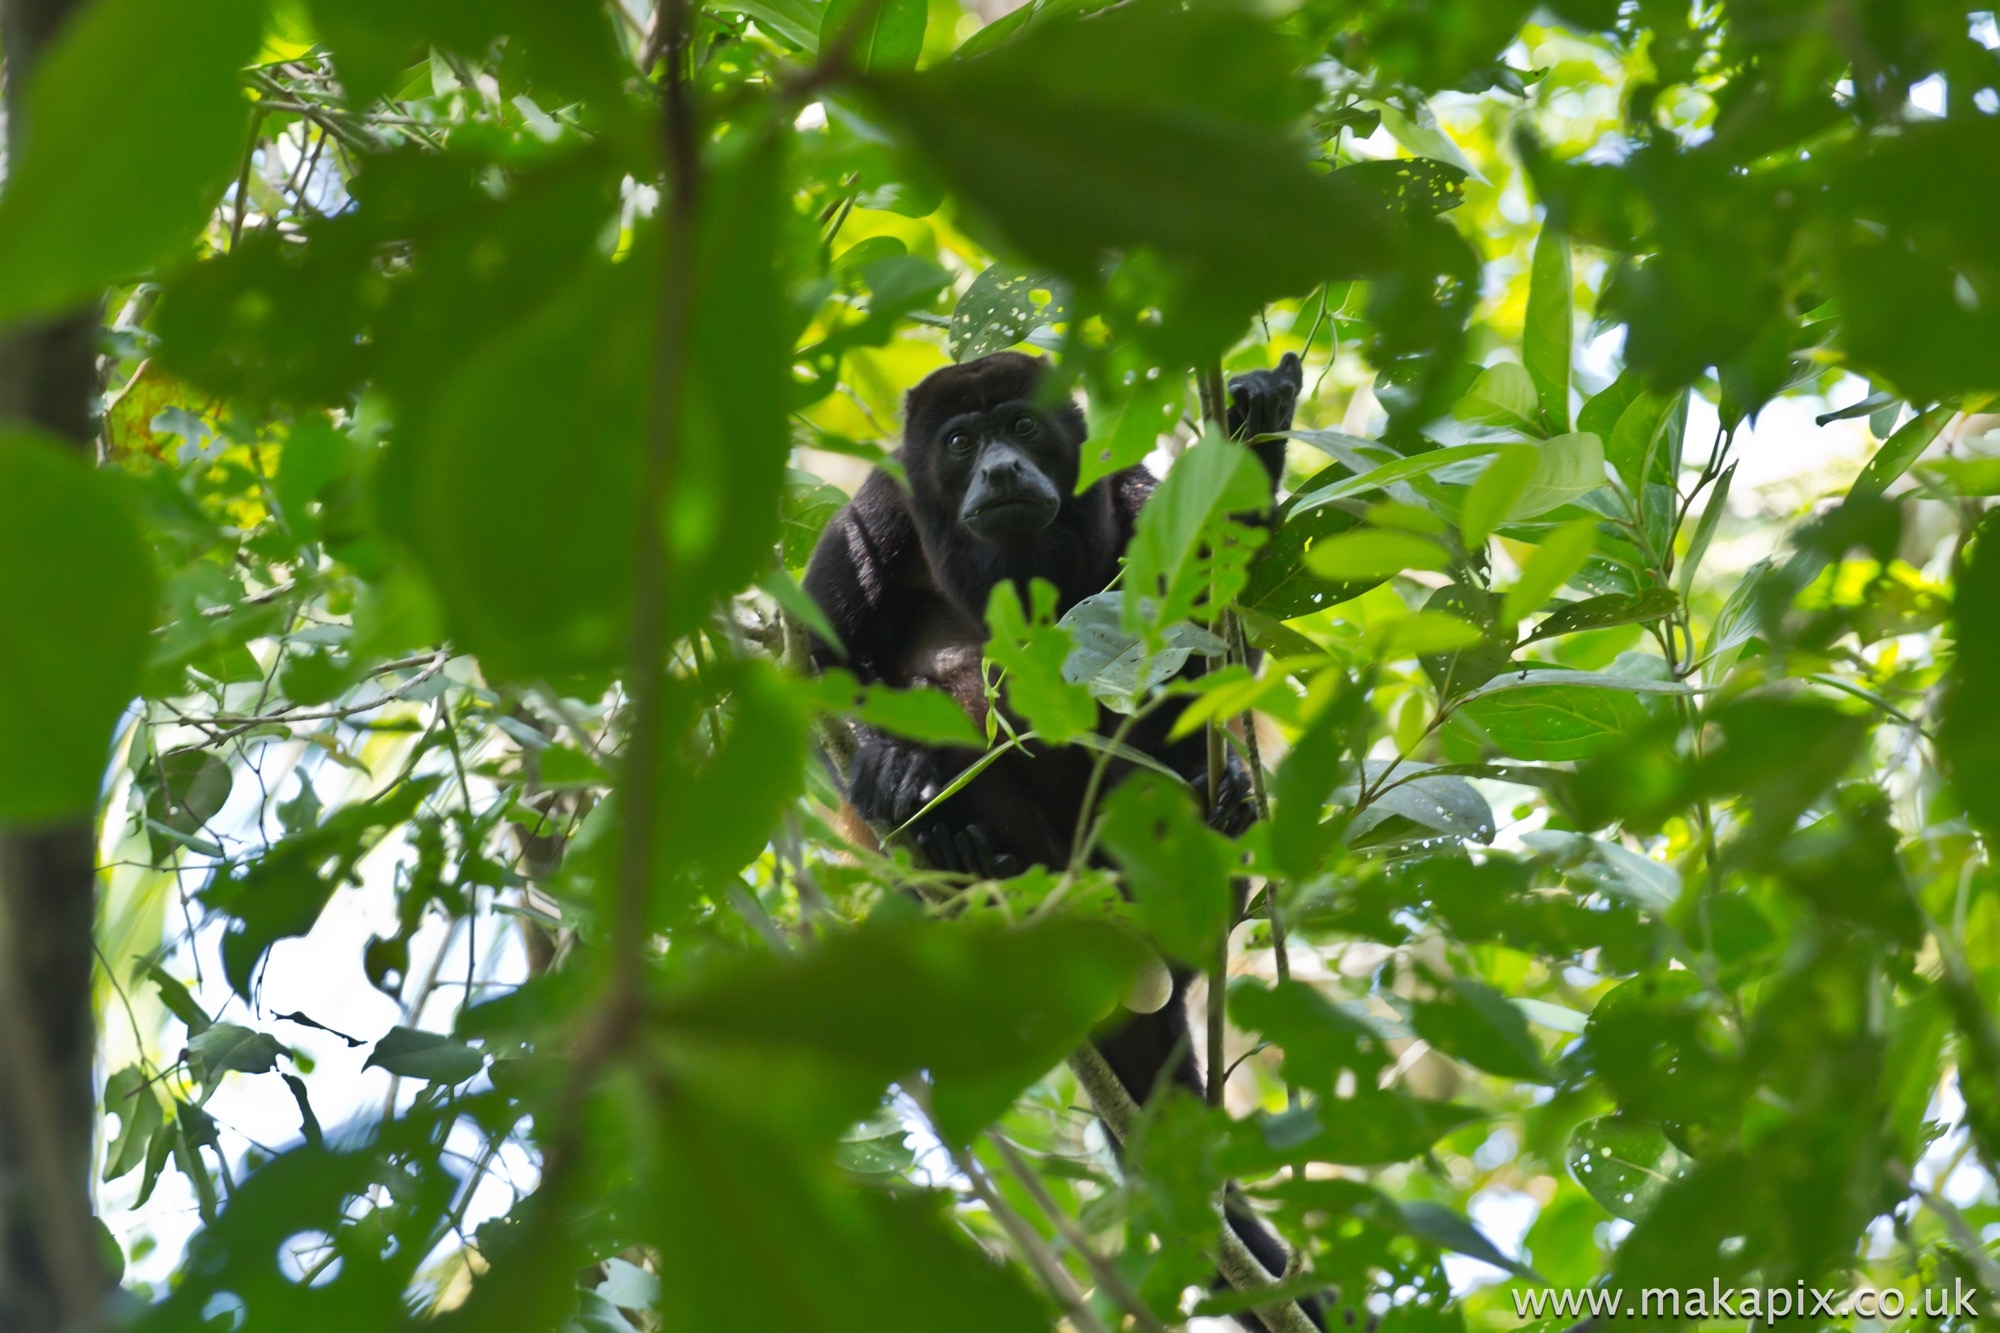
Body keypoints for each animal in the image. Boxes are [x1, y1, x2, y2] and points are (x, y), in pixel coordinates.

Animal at [804, 348, 1320, 1320]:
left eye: (1024, 427)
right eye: (961, 442)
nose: (1003, 469)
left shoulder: (1127, 485)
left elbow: (1218, 643)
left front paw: (1256, 430)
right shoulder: (873, 513)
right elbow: (813, 665)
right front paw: (893, 764)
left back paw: (1215, 808)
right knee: (957, 685)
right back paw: (964, 856)